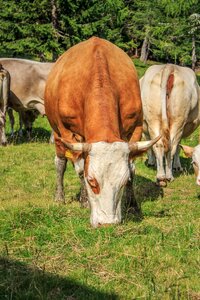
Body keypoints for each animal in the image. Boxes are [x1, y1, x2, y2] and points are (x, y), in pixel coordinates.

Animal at [44, 36, 159, 226]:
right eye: (92, 181)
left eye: (123, 182)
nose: (107, 223)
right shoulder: (68, 132)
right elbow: (80, 169)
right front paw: (84, 200)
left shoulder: (135, 128)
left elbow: (132, 168)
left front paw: (133, 205)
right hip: (57, 133)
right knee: (60, 162)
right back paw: (60, 196)